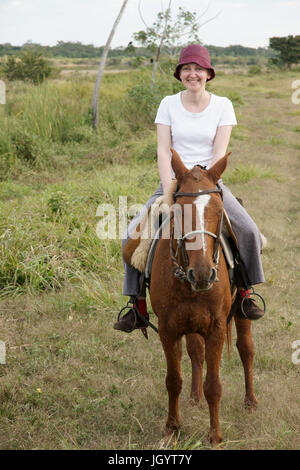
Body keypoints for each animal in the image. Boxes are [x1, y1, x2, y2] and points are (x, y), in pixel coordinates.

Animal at [149, 149, 256, 446]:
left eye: (219, 211)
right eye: (178, 211)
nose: (203, 273)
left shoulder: (217, 327)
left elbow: (214, 386)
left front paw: (215, 437)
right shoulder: (168, 328)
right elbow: (173, 380)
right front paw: (172, 429)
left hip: (241, 312)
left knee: (246, 349)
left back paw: (251, 402)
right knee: (196, 352)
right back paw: (194, 398)